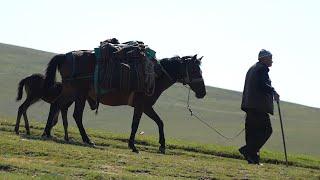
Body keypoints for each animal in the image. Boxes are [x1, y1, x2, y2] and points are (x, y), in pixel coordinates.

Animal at [42, 52, 205, 153]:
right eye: (195, 70)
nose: (203, 92)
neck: (154, 76)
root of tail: (65, 56)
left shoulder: (146, 107)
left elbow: (159, 122)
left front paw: (162, 146)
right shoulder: (142, 106)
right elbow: (136, 124)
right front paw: (133, 146)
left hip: (70, 92)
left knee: (56, 105)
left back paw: (47, 133)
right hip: (79, 94)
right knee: (76, 115)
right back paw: (87, 140)